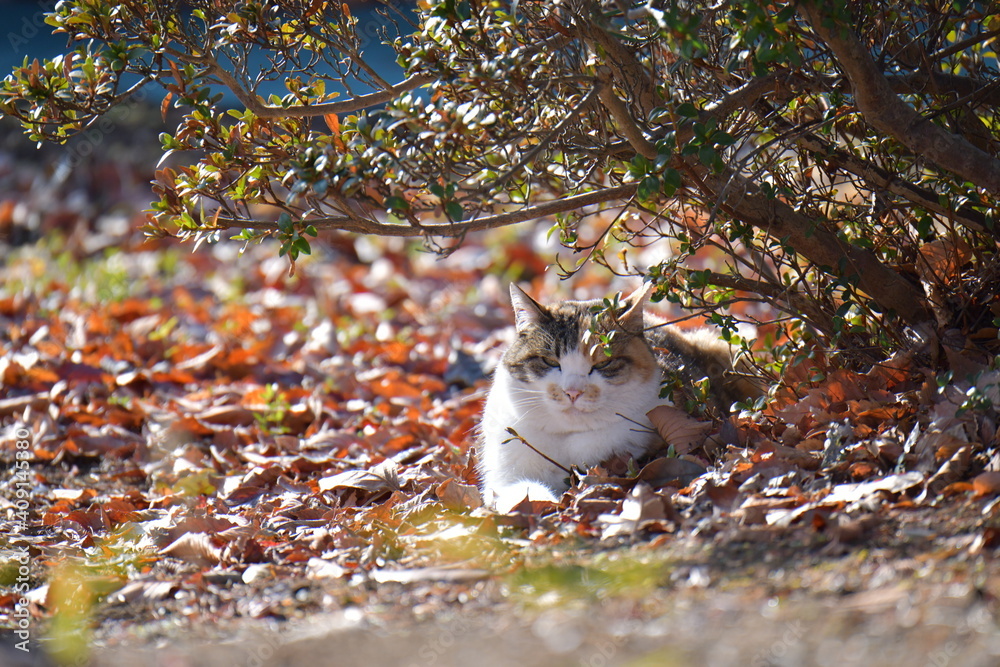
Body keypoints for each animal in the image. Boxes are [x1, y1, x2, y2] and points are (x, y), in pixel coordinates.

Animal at [478, 282, 756, 512]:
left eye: (604, 363)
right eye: (550, 361)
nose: (573, 391)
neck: (569, 439)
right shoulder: (506, 470)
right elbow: (516, 490)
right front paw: (540, 500)